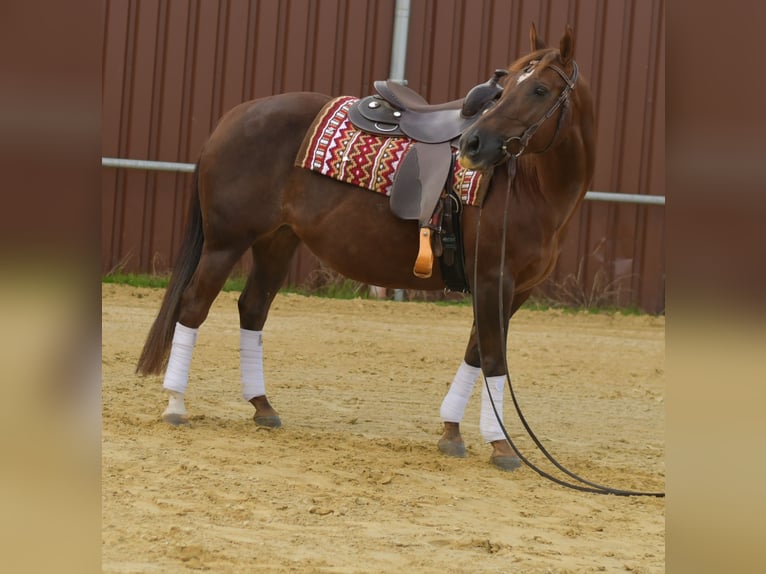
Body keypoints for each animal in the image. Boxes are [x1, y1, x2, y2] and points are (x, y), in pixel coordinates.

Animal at [136, 23, 594, 472]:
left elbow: (476, 354)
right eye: (507, 88)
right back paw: (176, 404)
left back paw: (262, 406)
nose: (474, 145)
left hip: (277, 242)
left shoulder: (516, 290)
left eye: (540, 90)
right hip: (226, 243)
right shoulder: (492, 280)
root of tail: (233, 117)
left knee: (252, 309)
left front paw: (452, 432)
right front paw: (501, 446)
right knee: (193, 306)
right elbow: (495, 359)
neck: (529, 188)